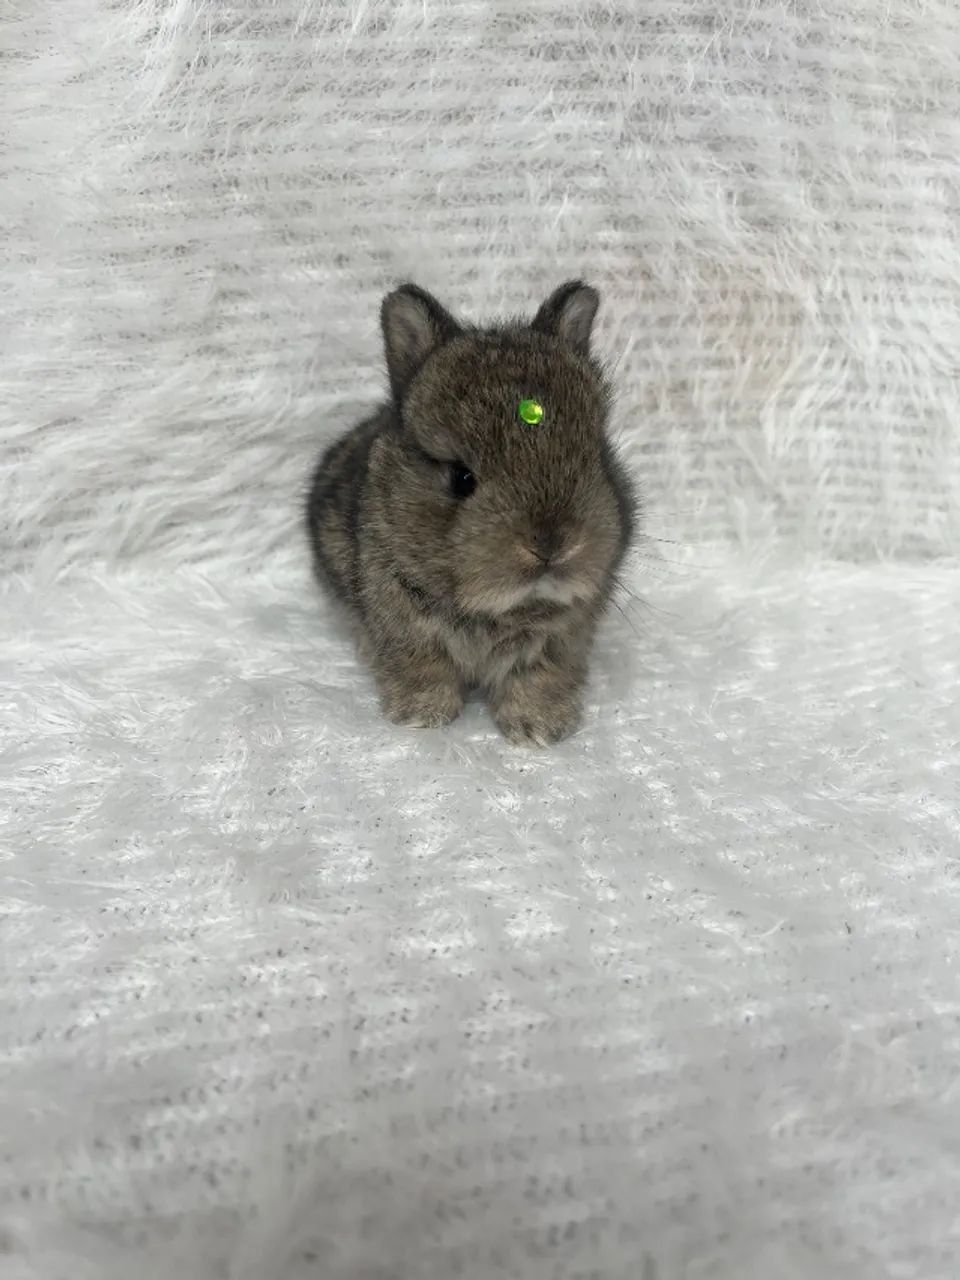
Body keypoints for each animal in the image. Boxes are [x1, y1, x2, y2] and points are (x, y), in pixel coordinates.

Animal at [306, 280, 635, 746]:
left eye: (596, 459)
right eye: (461, 478)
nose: (552, 544)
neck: (497, 610)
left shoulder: (560, 641)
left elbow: (538, 678)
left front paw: (537, 730)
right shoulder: (405, 628)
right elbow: (423, 667)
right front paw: (421, 716)